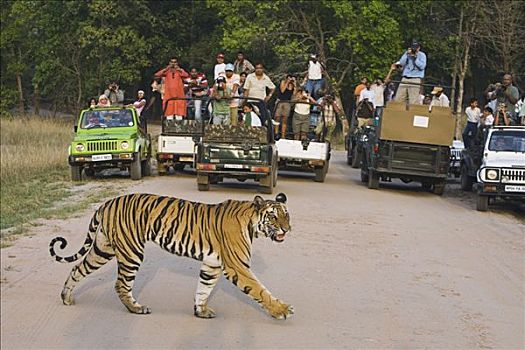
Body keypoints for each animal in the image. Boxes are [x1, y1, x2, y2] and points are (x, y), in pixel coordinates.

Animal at [48, 191, 294, 320]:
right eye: (273, 217)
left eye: (287, 215)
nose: (287, 229)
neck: (252, 224)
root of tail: (107, 202)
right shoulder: (238, 266)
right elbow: (260, 290)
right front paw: (282, 310)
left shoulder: (212, 265)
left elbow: (203, 288)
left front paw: (200, 311)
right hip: (131, 252)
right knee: (121, 284)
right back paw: (137, 308)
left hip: (103, 248)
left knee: (77, 268)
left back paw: (66, 297)